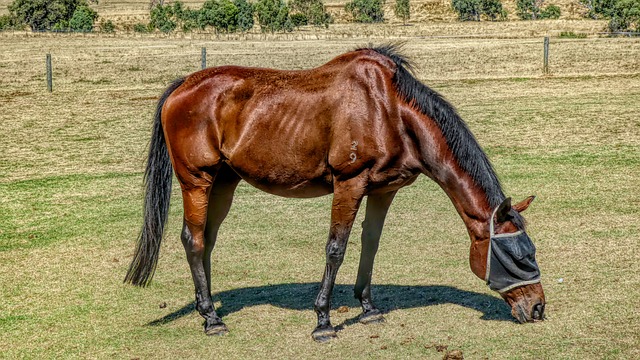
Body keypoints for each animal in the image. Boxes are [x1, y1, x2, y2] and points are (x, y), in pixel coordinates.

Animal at [124, 44, 544, 340]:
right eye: (519, 255)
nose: (538, 308)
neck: (391, 111)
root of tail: (182, 85)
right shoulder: (349, 183)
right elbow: (336, 248)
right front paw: (323, 320)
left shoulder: (382, 190)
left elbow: (370, 245)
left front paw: (368, 307)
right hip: (197, 181)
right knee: (193, 240)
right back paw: (211, 318)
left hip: (224, 182)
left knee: (207, 240)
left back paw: (207, 306)